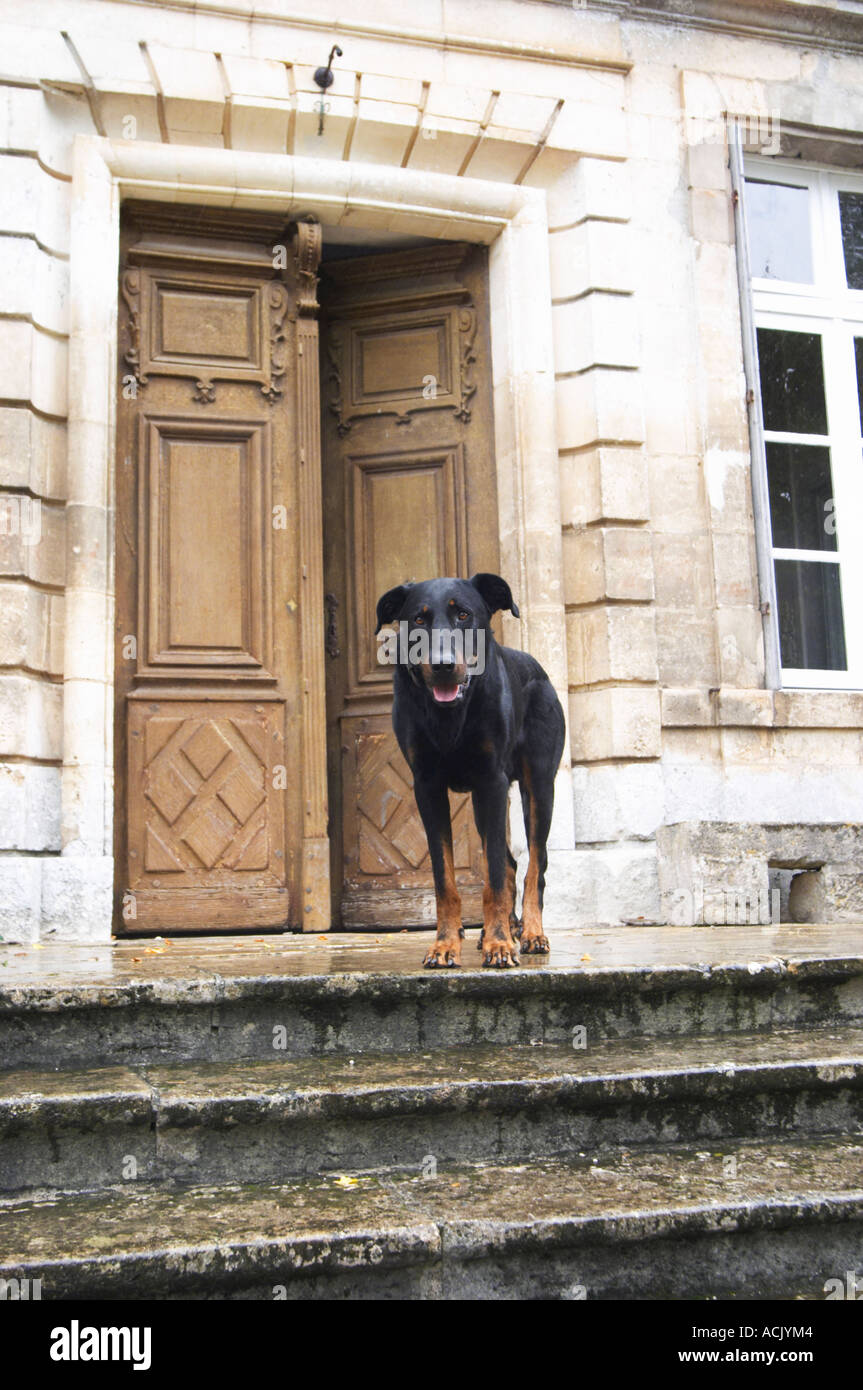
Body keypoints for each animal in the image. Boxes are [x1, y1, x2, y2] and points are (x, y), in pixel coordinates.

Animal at [372, 572, 564, 967]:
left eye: (463, 615)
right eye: (418, 619)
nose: (444, 665)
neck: (450, 715)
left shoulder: (492, 781)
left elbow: (494, 876)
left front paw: (499, 944)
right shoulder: (427, 786)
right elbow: (445, 878)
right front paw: (446, 944)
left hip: (538, 787)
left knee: (535, 865)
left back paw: (531, 933)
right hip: (479, 803)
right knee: (509, 863)